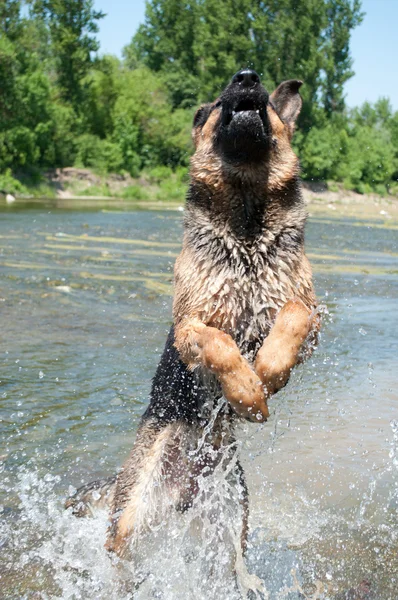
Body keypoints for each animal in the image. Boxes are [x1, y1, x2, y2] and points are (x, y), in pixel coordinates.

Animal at [65, 70, 320, 568]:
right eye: (213, 107)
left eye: (265, 98)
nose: (247, 77)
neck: (247, 225)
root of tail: (185, 488)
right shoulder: (190, 326)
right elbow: (220, 345)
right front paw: (247, 393)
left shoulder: (312, 318)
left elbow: (293, 314)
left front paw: (268, 373)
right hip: (132, 512)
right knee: (119, 549)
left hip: (232, 513)